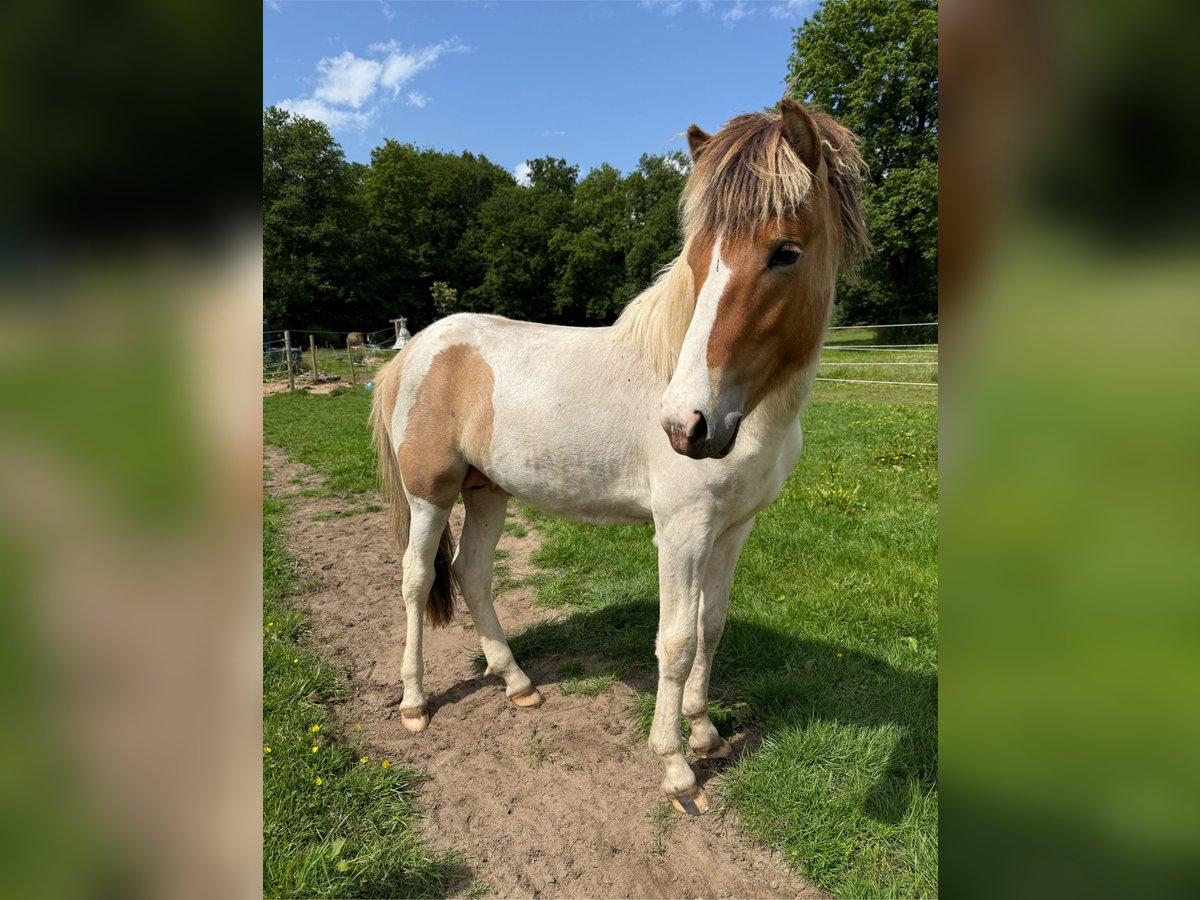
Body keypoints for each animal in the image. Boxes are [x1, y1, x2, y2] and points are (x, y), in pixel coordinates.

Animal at [369, 98, 869, 815]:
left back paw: (517, 683)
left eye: (786, 251)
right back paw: (414, 702)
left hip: (487, 492)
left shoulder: (734, 528)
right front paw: (678, 769)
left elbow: (712, 626)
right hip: (429, 494)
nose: (686, 425)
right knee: (415, 580)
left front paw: (706, 734)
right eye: (697, 256)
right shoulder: (682, 532)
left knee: (471, 575)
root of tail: (415, 349)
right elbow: (677, 641)